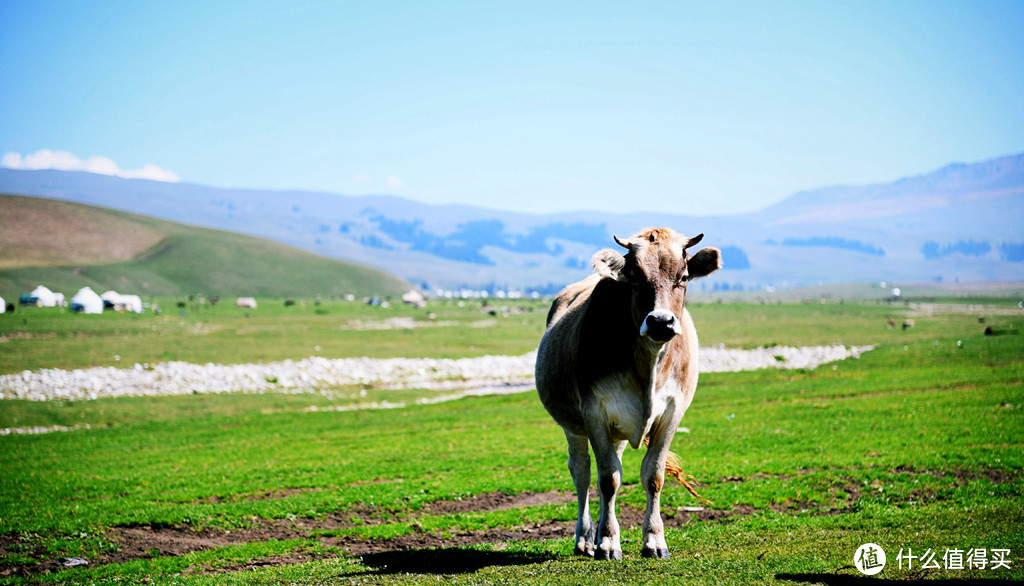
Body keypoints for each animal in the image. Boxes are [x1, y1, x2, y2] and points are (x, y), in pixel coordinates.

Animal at [536, 226, 720, 561]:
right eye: (634, 277)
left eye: (684, 277)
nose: (661, 321)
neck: (648, 364)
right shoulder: (594, 411)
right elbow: (608, 479)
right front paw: (608, 542)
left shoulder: (673, 412)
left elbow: (653, 476)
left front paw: (654, 540)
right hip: (573, 426)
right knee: (582, 471)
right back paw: (585, 538)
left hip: (617, 431)